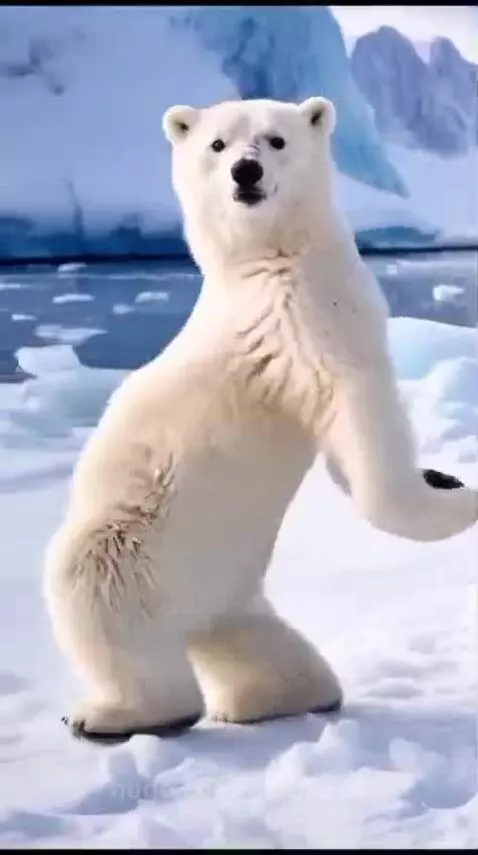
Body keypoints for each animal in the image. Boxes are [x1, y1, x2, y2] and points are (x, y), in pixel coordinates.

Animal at [43, 96, 478, 744]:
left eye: (275, 140)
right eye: (218, 144)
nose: (244, 171)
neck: (269, 264)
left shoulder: (318, 320)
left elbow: (350, 447)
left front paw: (444, 478)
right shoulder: (299, 327)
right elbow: (359, 433)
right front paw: (459, 494)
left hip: (225, 590)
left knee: (253, 641)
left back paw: (274, 696)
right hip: (142, 542)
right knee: (89, 580)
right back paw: (114, 713)